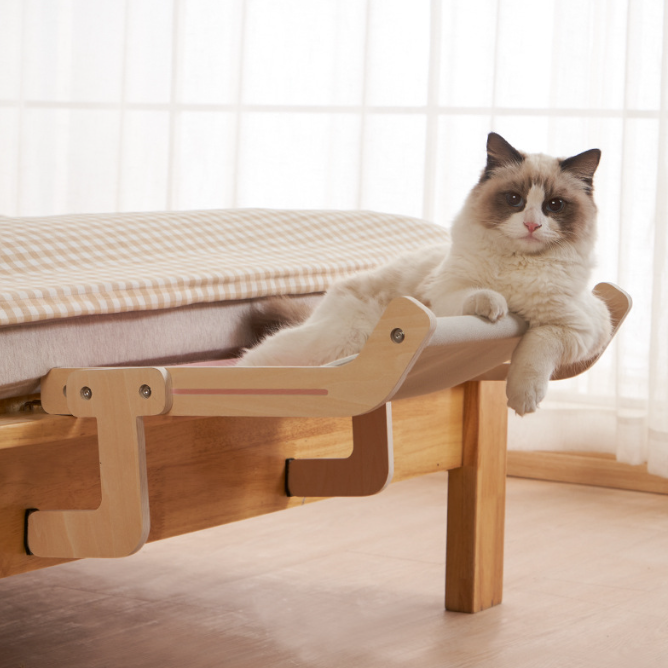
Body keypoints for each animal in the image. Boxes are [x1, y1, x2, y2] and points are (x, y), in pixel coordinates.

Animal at [239, 134, 612, 418]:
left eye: (554, 205)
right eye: (514, 200)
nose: (532, 225)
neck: (520, 267)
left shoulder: (577, 329)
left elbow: (536, 348)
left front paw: (523, 399)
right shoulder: (446, 295)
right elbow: (479, 295)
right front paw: (496, 307)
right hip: (339, 340)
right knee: (255, 360)